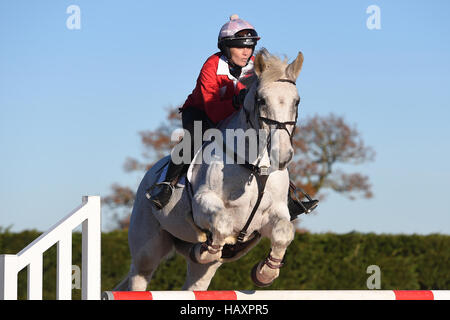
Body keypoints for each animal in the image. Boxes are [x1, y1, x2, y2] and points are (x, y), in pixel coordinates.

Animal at [115, 48, 306, 292]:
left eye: (296, 102)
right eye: (261, 100)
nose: (282, 156)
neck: (255, 167)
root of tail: (149, 177)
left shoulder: (275, 212)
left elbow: (284, 232)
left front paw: (265, 273)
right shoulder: (202, 202)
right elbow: (222, 224)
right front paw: (204, 249)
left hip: (200, 270)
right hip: (146, 248)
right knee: (139, 276)